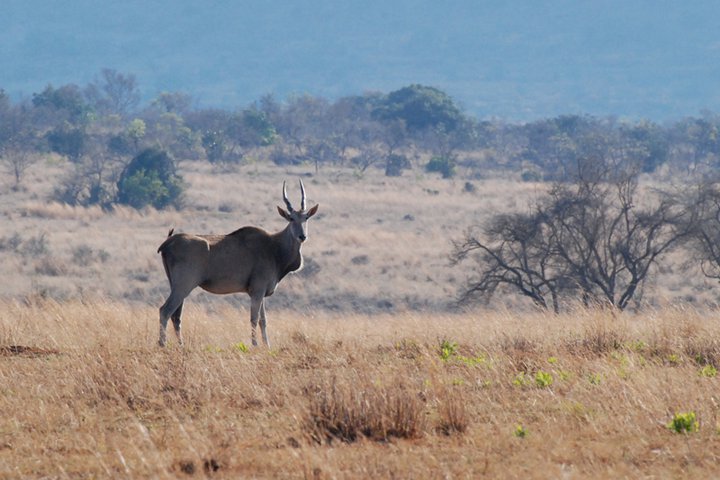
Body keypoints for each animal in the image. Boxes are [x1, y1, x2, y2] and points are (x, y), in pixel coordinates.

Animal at [159, 182, 320, 346]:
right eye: (291, 218)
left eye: (306, 217)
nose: (302, 236)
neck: (274, 248)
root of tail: (168, 242)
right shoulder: (257, 291)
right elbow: (254, 319)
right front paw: (255, 345)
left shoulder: (260, 293)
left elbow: (263, 320)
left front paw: (267, 346)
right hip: (183, 286)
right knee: (165, 311)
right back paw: (162, 344)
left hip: (176, 286)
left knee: (176, 316)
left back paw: (181, 345)